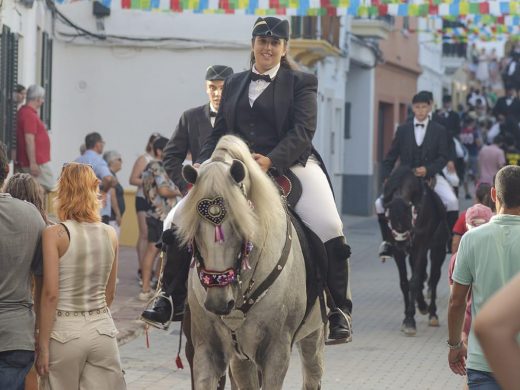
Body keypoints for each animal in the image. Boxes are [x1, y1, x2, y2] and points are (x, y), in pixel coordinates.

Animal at [175, 136, 324, 388]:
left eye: (240, 226)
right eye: (195, 231)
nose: (218, 303)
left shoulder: (276, 352)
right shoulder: (207, 349)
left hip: (313, 336)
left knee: (312, 374)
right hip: (241, 358)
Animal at [382, 165, 450, 336]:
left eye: (408, 217)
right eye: (388, 219)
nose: (402, 243)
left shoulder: (420, 246)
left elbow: (414, 281)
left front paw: (410, 320)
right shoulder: (398, 252)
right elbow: (405, 282)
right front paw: (407, 316)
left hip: (437, 250)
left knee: (434, 277)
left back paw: (432, 313)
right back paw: (422, 305)